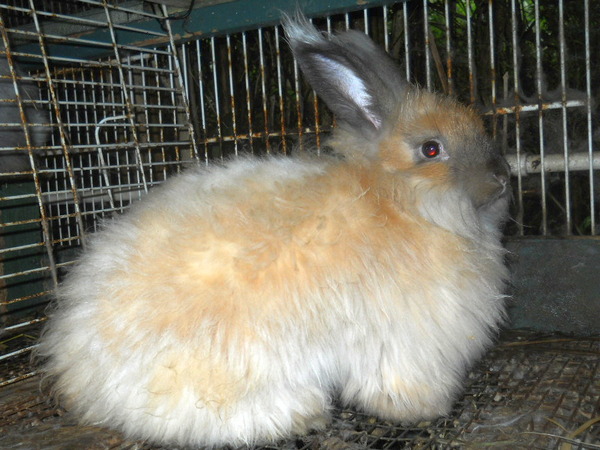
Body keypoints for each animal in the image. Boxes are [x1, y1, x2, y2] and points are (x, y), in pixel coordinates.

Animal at [35, 12, 508, 448]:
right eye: (431, 149)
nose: (502, 178)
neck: (398, 202)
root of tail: (80, 376)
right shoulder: (405, 344)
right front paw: (425, 410)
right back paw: (302, 414)